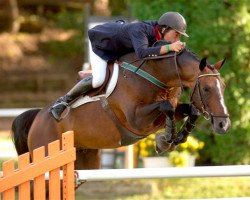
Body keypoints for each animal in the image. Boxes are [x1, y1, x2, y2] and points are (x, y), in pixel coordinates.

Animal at [11, 41, 230, 170]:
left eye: (223, 86)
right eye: (207, 88)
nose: (224, 125)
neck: (157, 73)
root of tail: (39, 116)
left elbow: (189, 110)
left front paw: (176, 138)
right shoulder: (136, 120)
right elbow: (166, 106)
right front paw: (166, 140)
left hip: (86, 160)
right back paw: (58, 108)